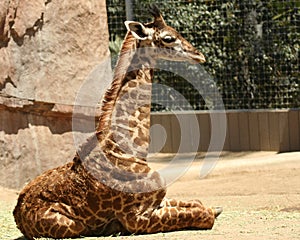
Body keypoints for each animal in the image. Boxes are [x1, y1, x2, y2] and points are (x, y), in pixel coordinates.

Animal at [12, 4, 221, 239]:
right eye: (168, 38)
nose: (199, 55)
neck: (128, 148)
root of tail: (17, 212)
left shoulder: (158, 202)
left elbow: (198, 203)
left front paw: (215, 207)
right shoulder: (137, 218)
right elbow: (204, 215)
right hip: (72, 226)